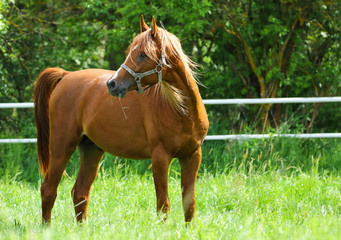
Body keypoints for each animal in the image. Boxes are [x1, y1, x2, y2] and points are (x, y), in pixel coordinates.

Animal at [33, 16, 207, 223]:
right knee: (49, 189)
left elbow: (190, 205)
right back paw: (47, 227)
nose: (112, 84)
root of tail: (66, 75)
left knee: (80, 193)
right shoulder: (160, 157)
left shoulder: (192, 156)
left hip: (91, 150)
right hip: (62, 146)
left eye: (142, 54)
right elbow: (163, 205)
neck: (181, 111)